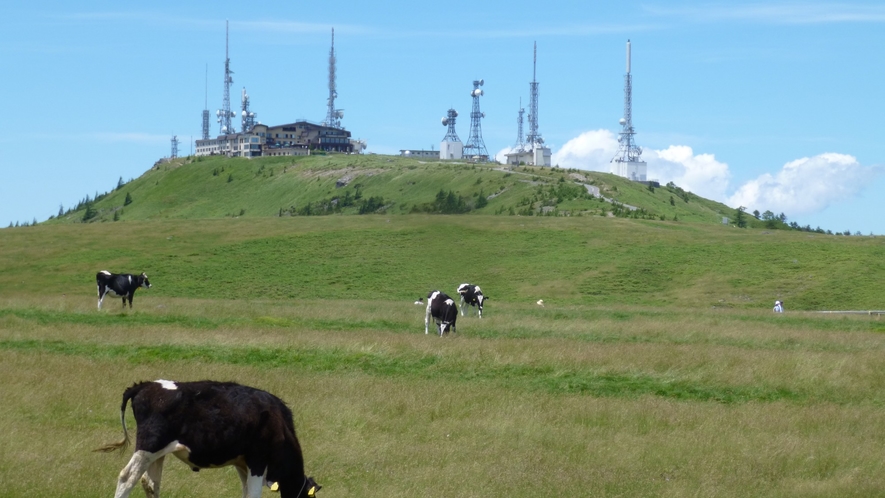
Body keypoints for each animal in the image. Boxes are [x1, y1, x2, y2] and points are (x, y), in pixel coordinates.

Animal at [97, 380, 318, 496]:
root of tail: (145, 385)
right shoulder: (257, 460)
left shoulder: (242, 463)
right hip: (149, 446)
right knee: (127, 477)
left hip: (157, 454)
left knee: (150, 483)